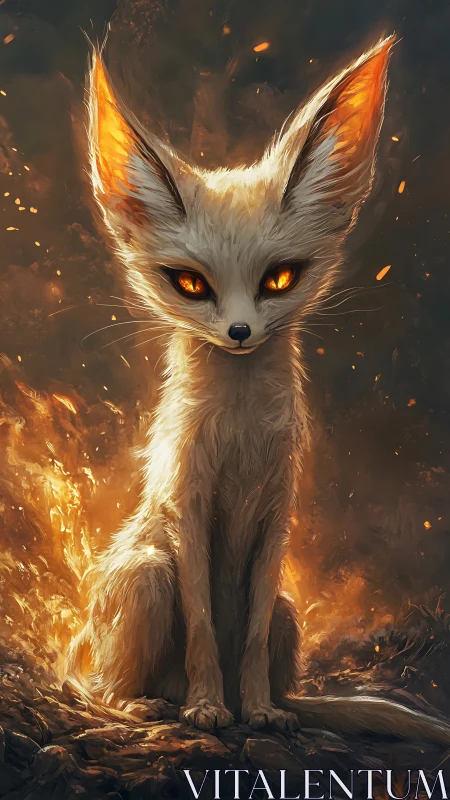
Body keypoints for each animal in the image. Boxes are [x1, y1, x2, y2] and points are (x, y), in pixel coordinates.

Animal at [67, 35, 450, 747]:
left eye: (279, 279)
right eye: (191, 285)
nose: (241, 331)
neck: (241, 434)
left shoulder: (278, 516)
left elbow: (244, 640)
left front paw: (258, 711)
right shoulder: (187, 508)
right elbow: (201, 627)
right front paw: (207, 707)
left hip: (289, 613)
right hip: (146, 575)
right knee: (92, 685)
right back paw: (144, 705)